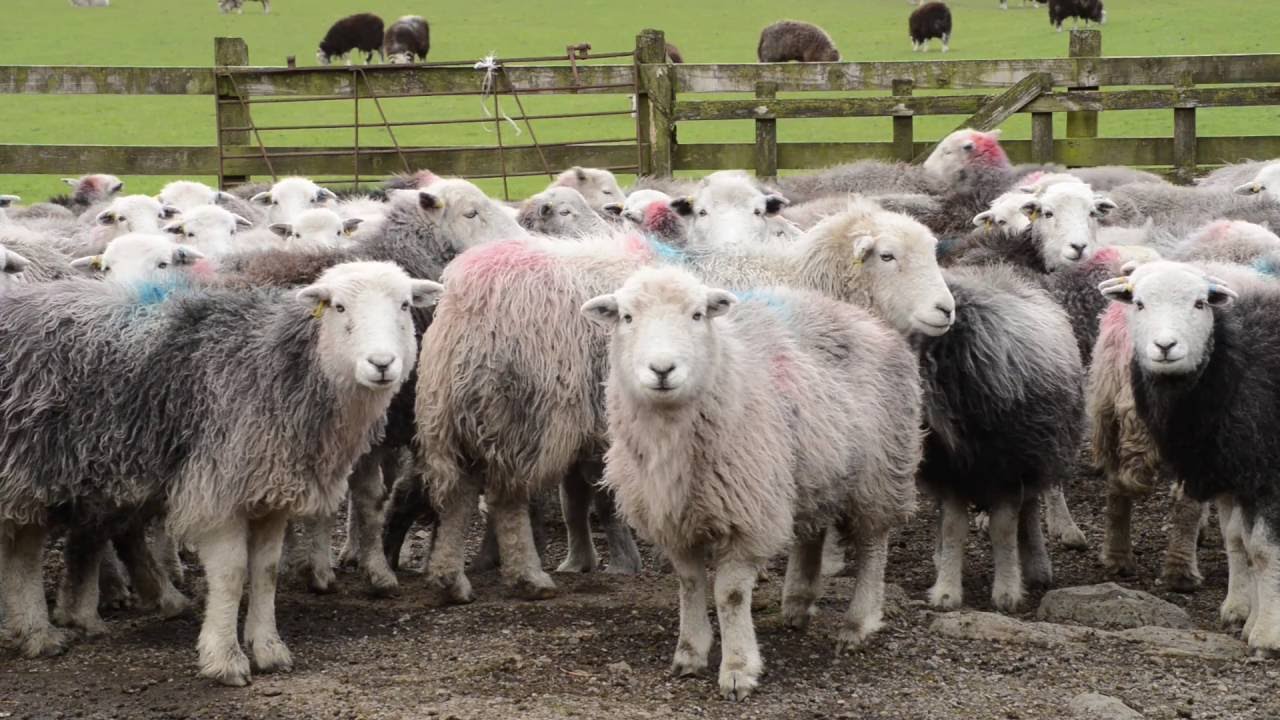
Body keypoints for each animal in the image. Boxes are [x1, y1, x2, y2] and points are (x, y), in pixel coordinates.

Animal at [0, 260, 440, 681]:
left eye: (404, 305)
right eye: (339, 306)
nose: (381, 364)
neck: (280, 368)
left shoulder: (269, 494)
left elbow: (265, 571)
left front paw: (268, 649)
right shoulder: (219, 489)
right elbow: (231, 573)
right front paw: (225, 659)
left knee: (37, 547)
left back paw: (47, 630)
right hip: (23, 473)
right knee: (26, 551)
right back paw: (42, 629)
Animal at [586, 263, 926, 696]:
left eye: (698, 315)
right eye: (627, 317)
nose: (662, 370)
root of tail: (866, 317)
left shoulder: (746, 514)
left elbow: (729, 594)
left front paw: (737, 669)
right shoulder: (675, 516)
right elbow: (690, 584)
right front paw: (690, 652)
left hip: (881, 469)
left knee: (873, 545)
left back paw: (859, 623)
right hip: (808, 466)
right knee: (812, 532)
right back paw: (798, 601)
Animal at [1095, 262, 1280, 650]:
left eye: (1200, 303)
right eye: (1139, 303)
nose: (1165, 346)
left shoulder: (1267, 474)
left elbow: (1263, 550)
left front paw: (1267, 635)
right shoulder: (1234, 472)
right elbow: (1241, 542)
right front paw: (1245, 616)